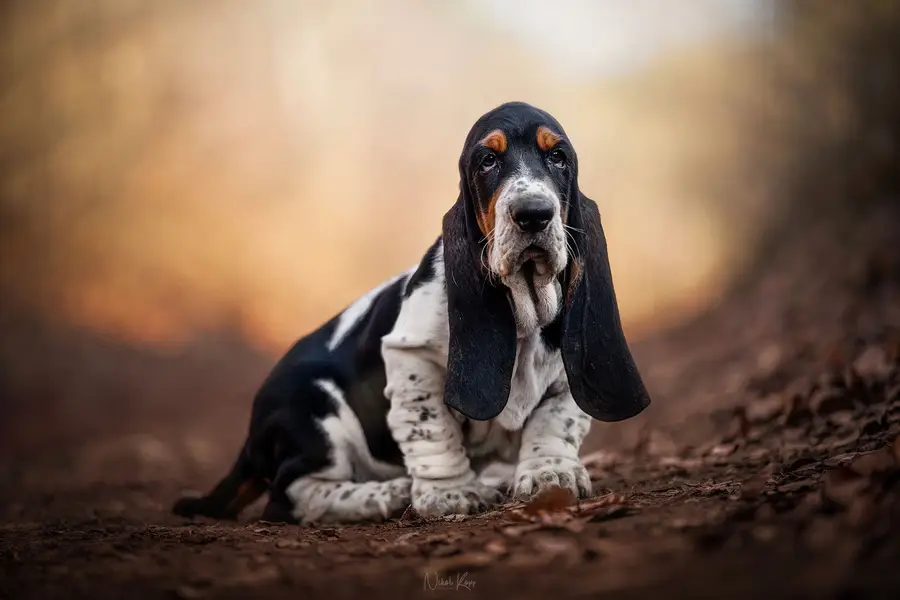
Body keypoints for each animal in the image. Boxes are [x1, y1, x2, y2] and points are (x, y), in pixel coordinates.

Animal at [172, 101, 652, 524]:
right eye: (487, 161)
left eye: (557, 157)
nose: (533, 213)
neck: (524, 309)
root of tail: (251, 437)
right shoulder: (413, 358)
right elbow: (431, 427)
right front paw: (449, 494)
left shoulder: (570, 365)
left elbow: (556, 420)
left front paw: (551, 473)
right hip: (316, 412)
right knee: (291, 495)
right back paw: (387, 493)